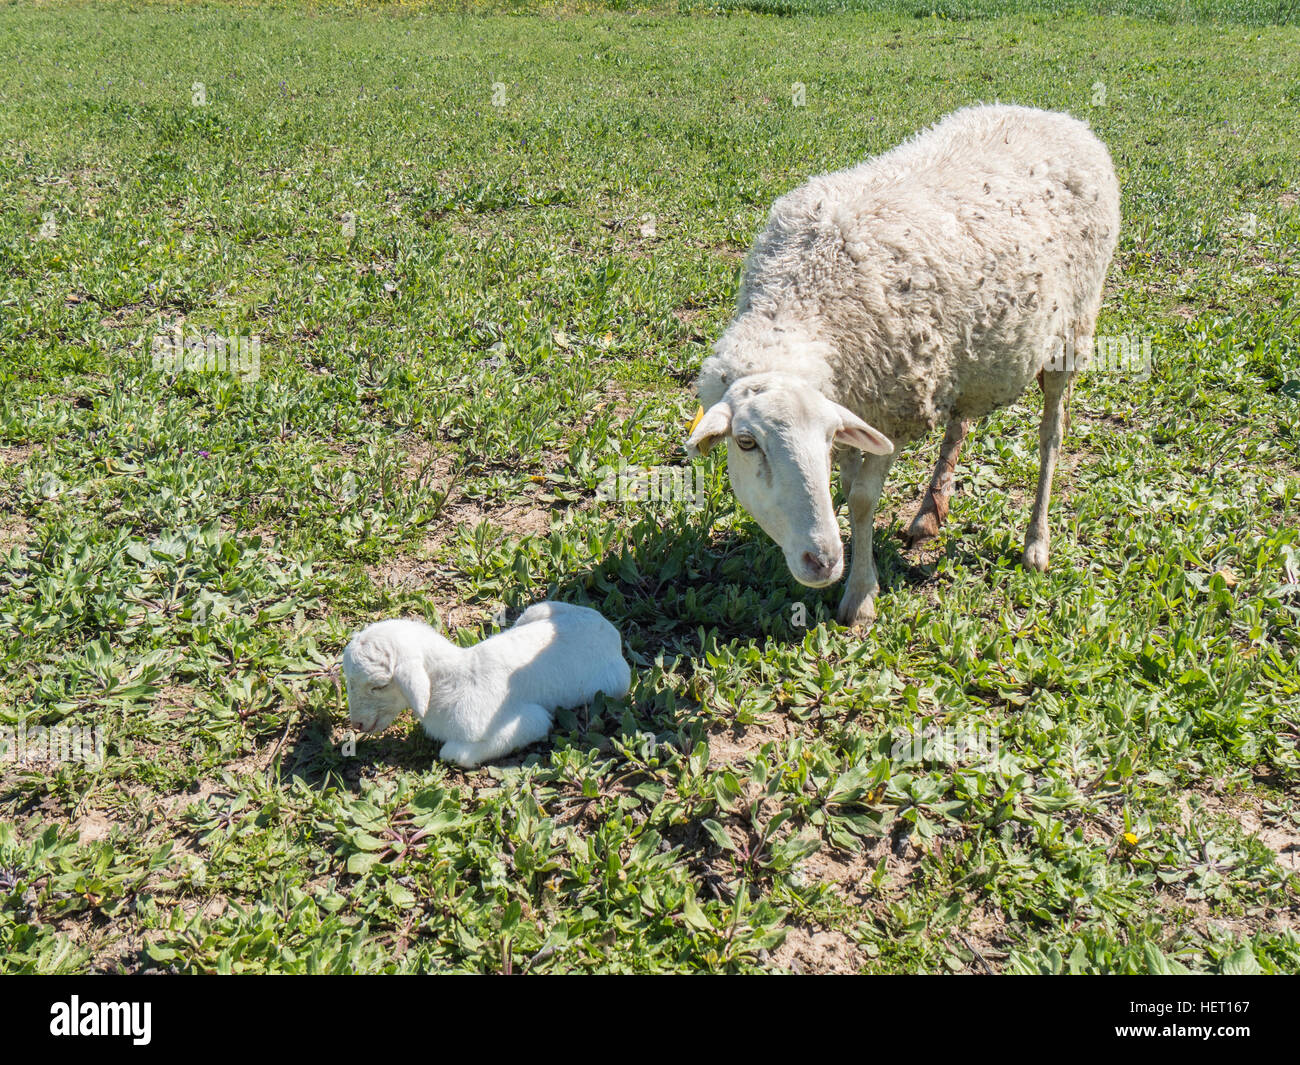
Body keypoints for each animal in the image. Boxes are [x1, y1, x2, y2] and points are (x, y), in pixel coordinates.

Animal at [341, 602, 632, 767]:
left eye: (379, 686)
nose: (357, 724)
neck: (452, 679)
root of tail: (610, 630)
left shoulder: (529, 721)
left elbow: (452, 753)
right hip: (538, 610)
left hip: (615, 685)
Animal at [687, 104, 1120, 627]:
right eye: (747, 443)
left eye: (824, 438)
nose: (822, 560)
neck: (803, 299)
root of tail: (1059, 117)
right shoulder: (863, 402)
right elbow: (850, 486)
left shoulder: (889, 408)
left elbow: (860, 499)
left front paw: (860, 594)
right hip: (966, 355)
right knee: (960, 423)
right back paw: (929, 512)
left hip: (1072, 332)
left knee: (1051, 435)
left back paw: (1036, 543)